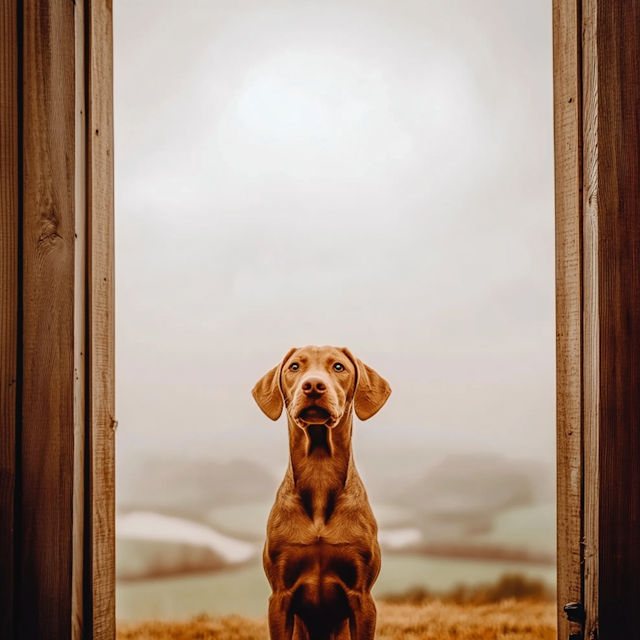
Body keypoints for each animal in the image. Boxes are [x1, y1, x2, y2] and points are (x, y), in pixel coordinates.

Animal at [250, 348, 390, 636]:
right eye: (294, 367)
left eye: (338, 366)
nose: (313, 385)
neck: (319, 471)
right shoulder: (280, 596)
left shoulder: (362, 596)